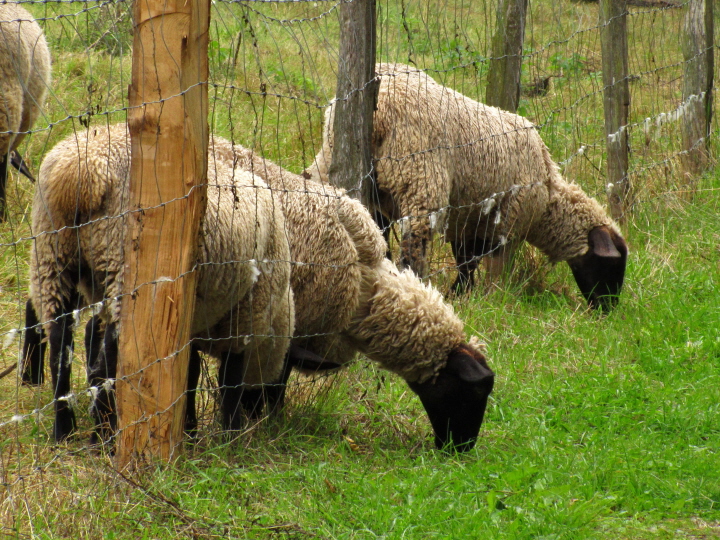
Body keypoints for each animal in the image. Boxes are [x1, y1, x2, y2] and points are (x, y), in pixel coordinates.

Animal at [21, 124, 296, 446]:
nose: (270, 413)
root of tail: (82, 171)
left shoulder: (193, 326)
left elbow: (189, 374)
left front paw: (189, 430)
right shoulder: (246, 316)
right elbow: (229, 380)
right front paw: (231, 434)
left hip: (52, 253)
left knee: (59, 344)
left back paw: (64, 428)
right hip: (121, 262)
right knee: (111, 359)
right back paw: (105, 435)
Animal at [205, 137, 492, 450]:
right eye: (476, 392)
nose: (461, 449)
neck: (364, 287)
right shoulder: (285, 327)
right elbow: (270, 385)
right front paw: (266, 422)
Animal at [310, 62, 632, 312]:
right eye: (611, 266)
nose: (608, 310)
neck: (549, 198)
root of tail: (380, 108)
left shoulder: (468, 222)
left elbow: (466, 263)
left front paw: (462, 294)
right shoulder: (507, 223)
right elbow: (494, 265)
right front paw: (492, 297)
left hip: (333, 168)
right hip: (420, 177)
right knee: (414, 246)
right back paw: (417, 285)